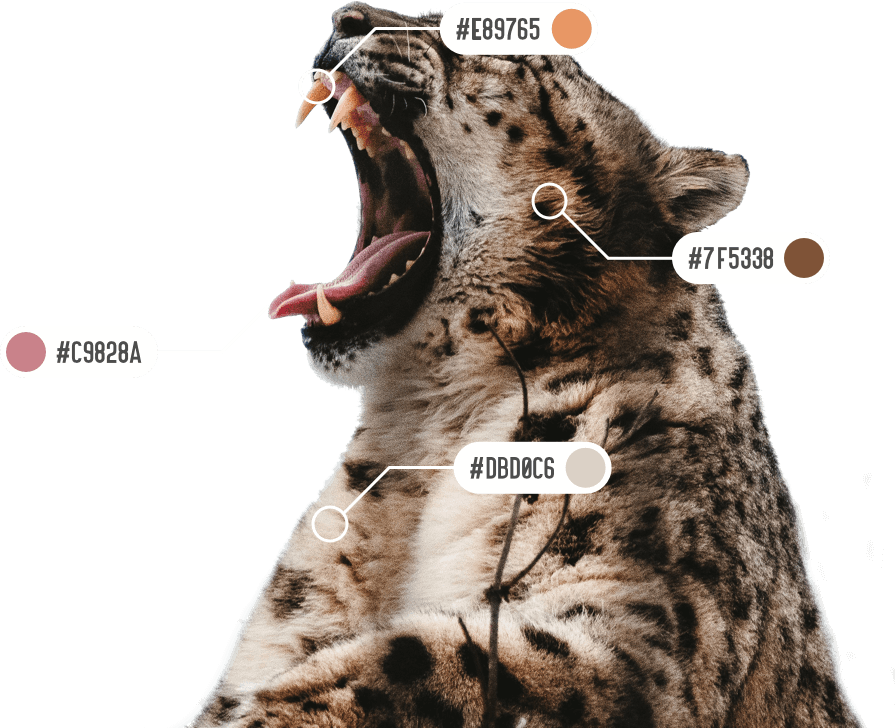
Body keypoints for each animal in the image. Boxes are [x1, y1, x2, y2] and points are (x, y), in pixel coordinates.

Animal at [181, 3, 863, 726]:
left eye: (486, 41)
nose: (347, 17)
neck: (427, 423)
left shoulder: (641, 620)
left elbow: (425, 660)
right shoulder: (303, 604)